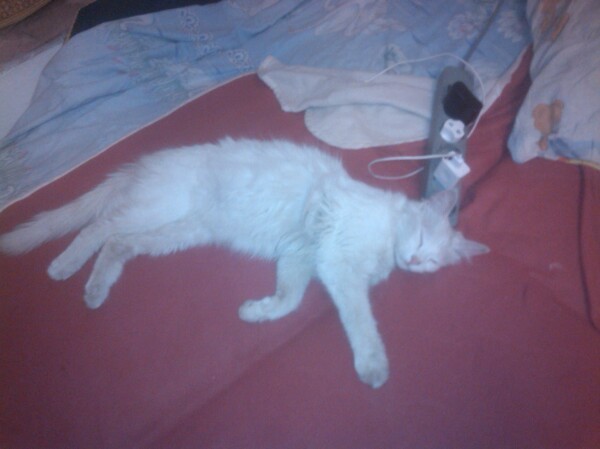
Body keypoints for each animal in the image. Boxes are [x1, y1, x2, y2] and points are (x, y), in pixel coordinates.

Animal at [0, 138, 489, 388]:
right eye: (421, 238)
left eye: (432, 261)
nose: (415, 260)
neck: (388, 235)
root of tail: (139, 166)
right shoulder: (336, 264)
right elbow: (362, 321)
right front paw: (373, 366)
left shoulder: (300, 256)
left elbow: (288, 300)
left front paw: (256, 313)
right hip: (156, 209)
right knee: (97, 228)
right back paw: (64, 267)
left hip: (179, 231)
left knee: (118, 243)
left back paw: (96, 289)